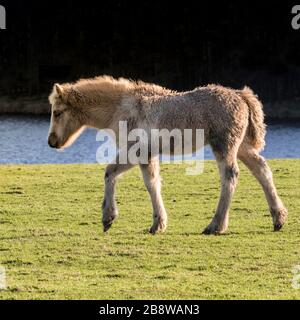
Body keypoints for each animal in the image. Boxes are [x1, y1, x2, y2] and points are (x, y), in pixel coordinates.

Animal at [48, 75, 288, 235]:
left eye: (57, 112)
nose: (51, 142)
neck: (121, 108)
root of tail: (241, 95)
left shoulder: (136, 151)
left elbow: (111, 173)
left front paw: (109, 217)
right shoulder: (147, 155)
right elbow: (152, 183)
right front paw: (158, 223)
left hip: (224, 146)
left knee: (230, 177)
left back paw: (215, 225)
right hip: (242, 146)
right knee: (262, 170)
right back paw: (278, 218)